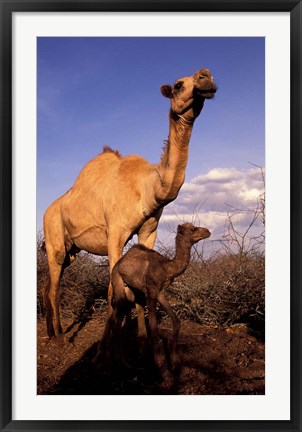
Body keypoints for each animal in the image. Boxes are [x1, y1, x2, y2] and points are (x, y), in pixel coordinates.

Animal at [94, 223, 210, 372]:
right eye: (193, 229)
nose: (208, 231)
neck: (167, 268)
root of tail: (117, 265)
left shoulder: (160, 293)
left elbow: (176, 321)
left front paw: (174, 363)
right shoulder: (151, 292)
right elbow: (153, 326)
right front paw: (159, 362)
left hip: (130, 292)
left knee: (117, 318)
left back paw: (117, 360)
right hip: (118, 283)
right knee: (114, 319)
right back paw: (122, 362)